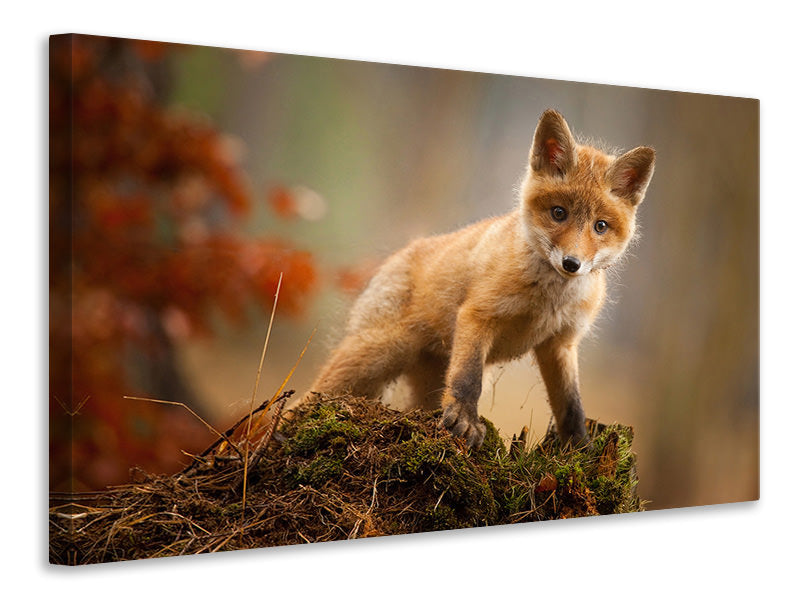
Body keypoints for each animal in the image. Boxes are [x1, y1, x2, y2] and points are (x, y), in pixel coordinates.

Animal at [310, 109, 655, 449]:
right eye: (559, 213)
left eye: (600, 226)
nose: (572, 263)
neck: (548, 301)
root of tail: (400, 253)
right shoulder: (478, 316)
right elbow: (467, 379)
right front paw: (464, 421)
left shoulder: (560, 343)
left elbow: (571, 404)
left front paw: (580, 447)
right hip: (376, 354)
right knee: (313, 393)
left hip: (424, 380)